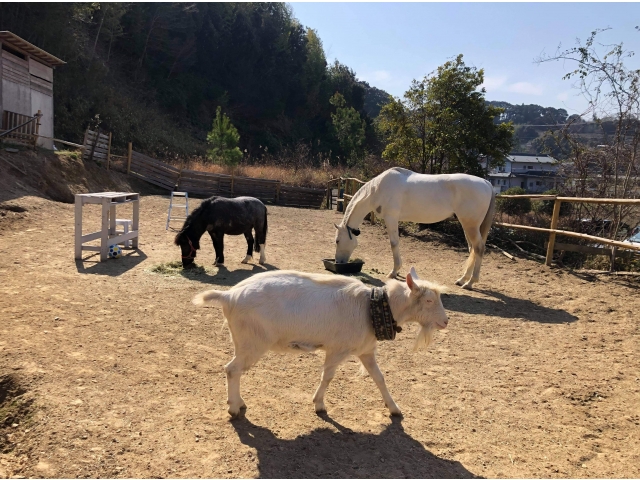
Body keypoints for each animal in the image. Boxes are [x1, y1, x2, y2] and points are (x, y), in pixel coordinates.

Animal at [192, 266, 448, 416]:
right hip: (252, 343)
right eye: (428, 301)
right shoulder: (337, 350)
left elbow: (379, 378)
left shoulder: (366, 351)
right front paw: (319, 404)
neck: (372, 308)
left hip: (244, 343)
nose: (446, 321)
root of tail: (228, 296)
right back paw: (235, 408)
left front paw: (394, 409)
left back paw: (239, 402)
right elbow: (328, 376)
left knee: (233, 370)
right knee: (232, 370)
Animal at [336, 167, 496, 290]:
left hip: (470, 225)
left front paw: (394, 271)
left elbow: (394, 244)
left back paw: (470, 283)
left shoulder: (391, 218)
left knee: (479, 248)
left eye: (337, 241)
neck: (379, 188)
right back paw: (463, 279)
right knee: (473, 249)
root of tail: (486, 183)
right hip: (468, 226)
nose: (339, 262)